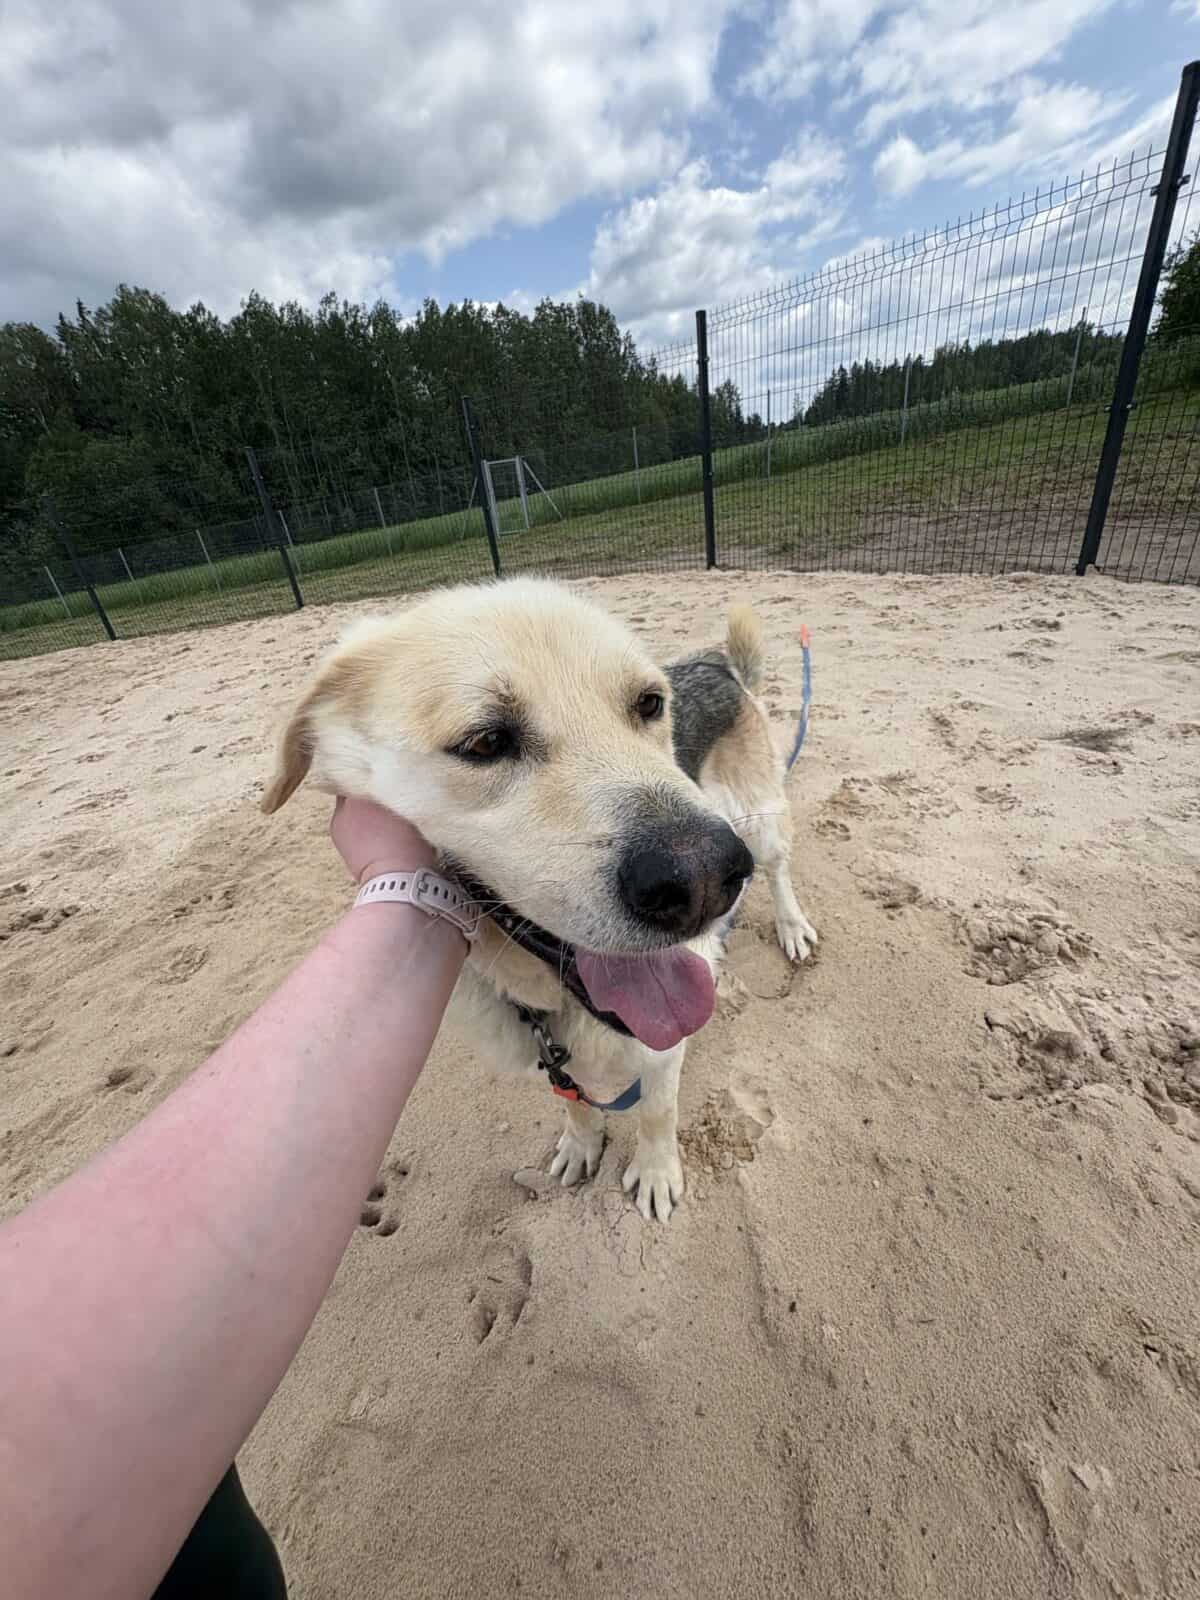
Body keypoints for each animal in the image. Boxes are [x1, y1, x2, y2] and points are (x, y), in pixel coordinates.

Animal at [262, 578, 817, 1221]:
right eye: (486, 740)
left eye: (649, 704)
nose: (704, 880)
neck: (554, 1000)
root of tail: (716, 663)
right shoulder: (553, 1055)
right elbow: (573, 1100)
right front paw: (581, 1145)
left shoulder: (663, 1047)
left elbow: (657, 1111)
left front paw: (656, 1171)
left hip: (758, 823)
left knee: (778, 869)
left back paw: (792, 927)